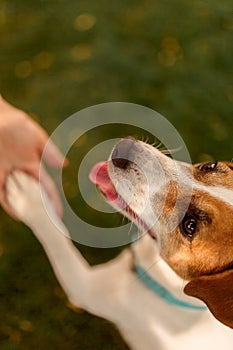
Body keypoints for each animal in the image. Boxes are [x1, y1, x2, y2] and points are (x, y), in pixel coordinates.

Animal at [5, 137, 233, 350]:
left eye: (190, 225)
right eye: (210, 165)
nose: (124, 149)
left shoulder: (85, 287)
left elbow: (57, 237)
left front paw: (29, 196)